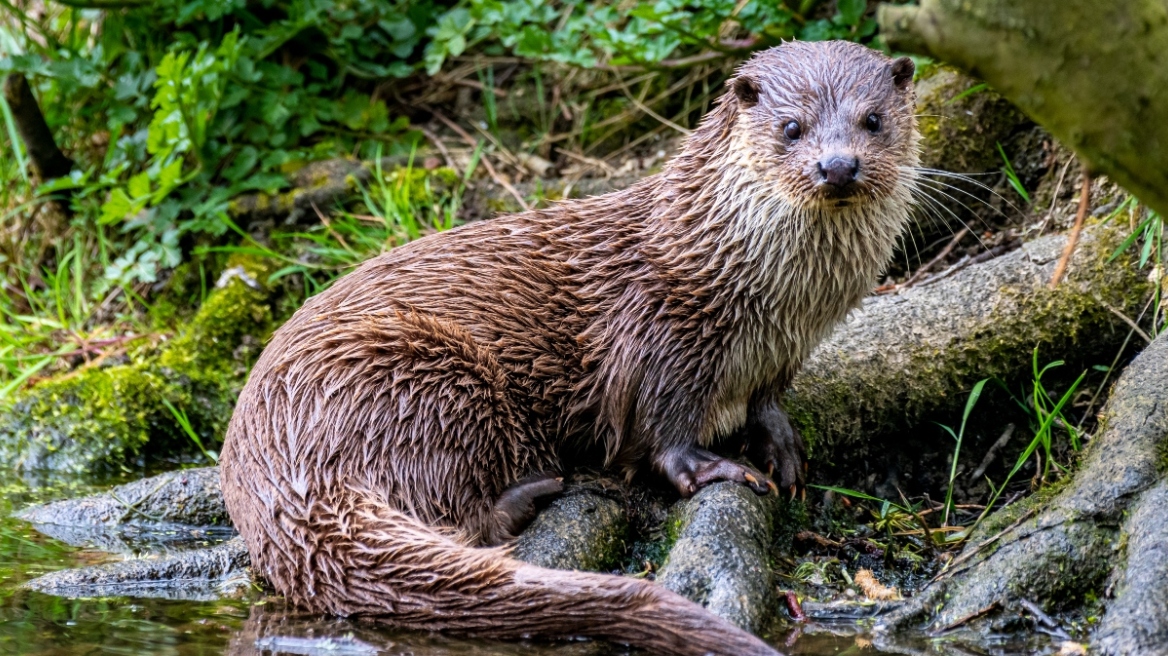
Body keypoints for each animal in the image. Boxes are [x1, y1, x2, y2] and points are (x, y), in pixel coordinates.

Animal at [217, 40, 911, 653]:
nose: (837, 165)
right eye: (792, 127)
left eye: (872, 120)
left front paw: (781, 448)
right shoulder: (662, 331)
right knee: (454, 517)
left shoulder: (783, 352)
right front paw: (713, 467)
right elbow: (661, 431)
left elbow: (767, 402)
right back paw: (536, 490)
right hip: (425, 376)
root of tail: (272, 464)